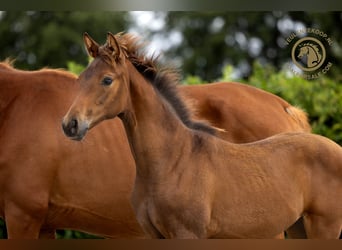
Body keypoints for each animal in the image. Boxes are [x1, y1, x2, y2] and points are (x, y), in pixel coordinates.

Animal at [0, 57, 310, 237]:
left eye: (107, 80)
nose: (70, 125)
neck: (14, 107)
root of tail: (284, 107)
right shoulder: (43, 225)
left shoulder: (23, 216)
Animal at [62, 32, 342, 239]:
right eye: (81, 79)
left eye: (107, 80)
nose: (70, 125)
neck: (172, 160)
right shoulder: (154, 235)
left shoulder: (187, 234)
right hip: (297, 227)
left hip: (324, 227)